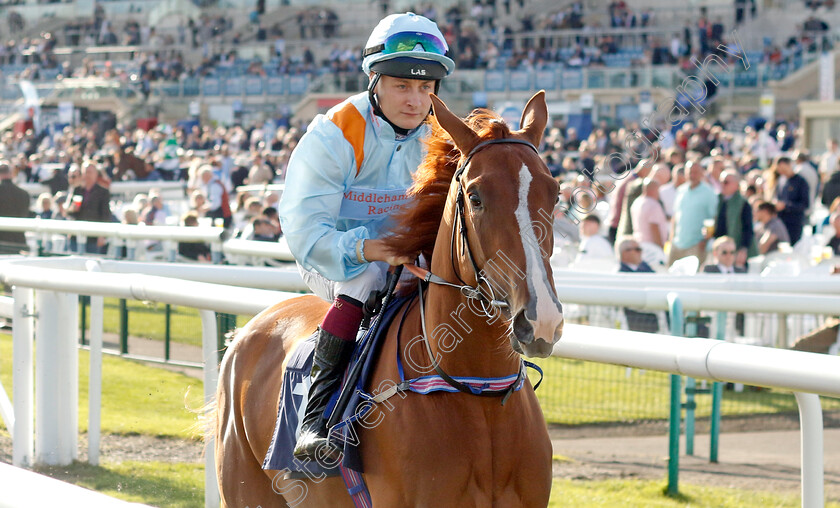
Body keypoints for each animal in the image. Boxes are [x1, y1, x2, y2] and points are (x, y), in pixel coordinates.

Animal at [215, 92, 564, 508]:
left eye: (555, 192)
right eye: (475, 197)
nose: (541, 320)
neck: (477, 389)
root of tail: (248, 329)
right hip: (245, 485)